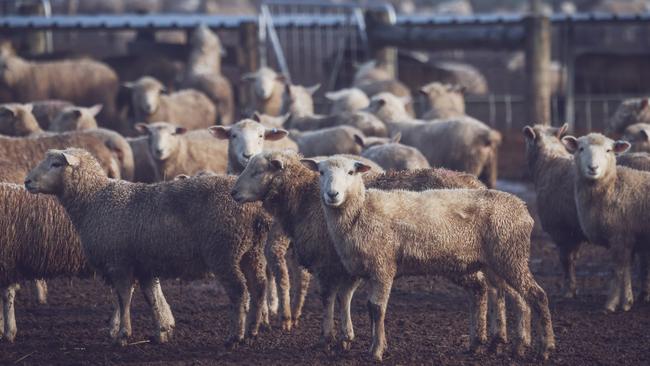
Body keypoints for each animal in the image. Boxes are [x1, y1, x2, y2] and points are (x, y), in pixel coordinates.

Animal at [25, 148, 270, 346]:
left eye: (56, 164)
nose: (27, 181)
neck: (94, 201)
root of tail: (255, 209)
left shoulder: (118, 262)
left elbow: (123, 298)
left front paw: (123, 335)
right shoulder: (144, 265)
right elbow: (151, 298)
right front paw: (161, 332)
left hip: (223, 251)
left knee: (239, 291)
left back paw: (234, 337)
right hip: (251, 250)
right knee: (259, 287)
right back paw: (252, 332)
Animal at [230, 150, 512, 354]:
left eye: (257, 171)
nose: (233, 193)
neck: (304, 197)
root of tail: (474, 180)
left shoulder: (328, 262)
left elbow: (328, 297)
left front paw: (327, 338)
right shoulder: (349, 263)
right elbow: (345, 297)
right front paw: (346, 337)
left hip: (460, 258)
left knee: (483, 289)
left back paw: (485, 339)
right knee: (493, 289)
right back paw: (493, 339)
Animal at [304, 154, 552, 360]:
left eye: (351, 172)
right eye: (321, 172)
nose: (332, 195)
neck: (360, 211)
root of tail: (523, 208)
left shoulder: (383, 265)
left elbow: (377, 308)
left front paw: (376, 351)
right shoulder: (368, 268)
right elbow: (364, 305)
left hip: (510, 255)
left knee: (536, 295)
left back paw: (545, 348)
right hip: (497, 261)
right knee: (517, 296)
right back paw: (513, 345)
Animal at [364, 91, 502, 189]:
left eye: (371, 104)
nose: (362, 110)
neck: (394, 121)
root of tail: (487, 134)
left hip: (469, 162)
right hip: (490, 167)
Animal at [556, 134, 648, 312]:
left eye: (608, 150)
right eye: (581, 148)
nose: (593, 168)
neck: (613, 187)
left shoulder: (619, 236)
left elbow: (617, 270)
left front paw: (611, 304)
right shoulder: (626, 238)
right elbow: (625, 269)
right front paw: (627, 302)